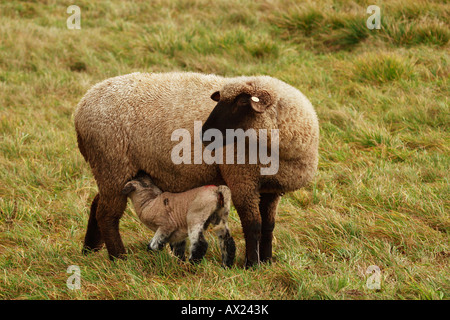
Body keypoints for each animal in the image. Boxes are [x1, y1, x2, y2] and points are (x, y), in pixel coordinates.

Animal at [74, 71, 320, 266]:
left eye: (242, 103)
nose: (204, 134)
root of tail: (82, 105)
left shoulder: (271, 188)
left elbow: (269, 225)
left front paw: (267, 261)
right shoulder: (243, 180)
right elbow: (253, 225)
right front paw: (252, 265)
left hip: (111, 170)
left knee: (97, 204)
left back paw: (89, 249)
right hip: (112, 163)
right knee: (107, 214)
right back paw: (118, 258)